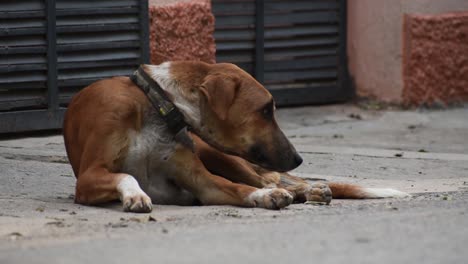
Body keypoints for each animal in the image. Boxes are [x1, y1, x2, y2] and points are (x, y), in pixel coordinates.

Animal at [64, 61, 408, 212]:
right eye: (266, 110)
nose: (298, 158)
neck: (158, 105)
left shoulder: (202, 180)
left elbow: (239, 188)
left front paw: (266, 197)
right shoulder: (89, 177)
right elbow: (126, 174)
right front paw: (135, 195)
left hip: (217, 154)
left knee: (271, 180)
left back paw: (306, 190)